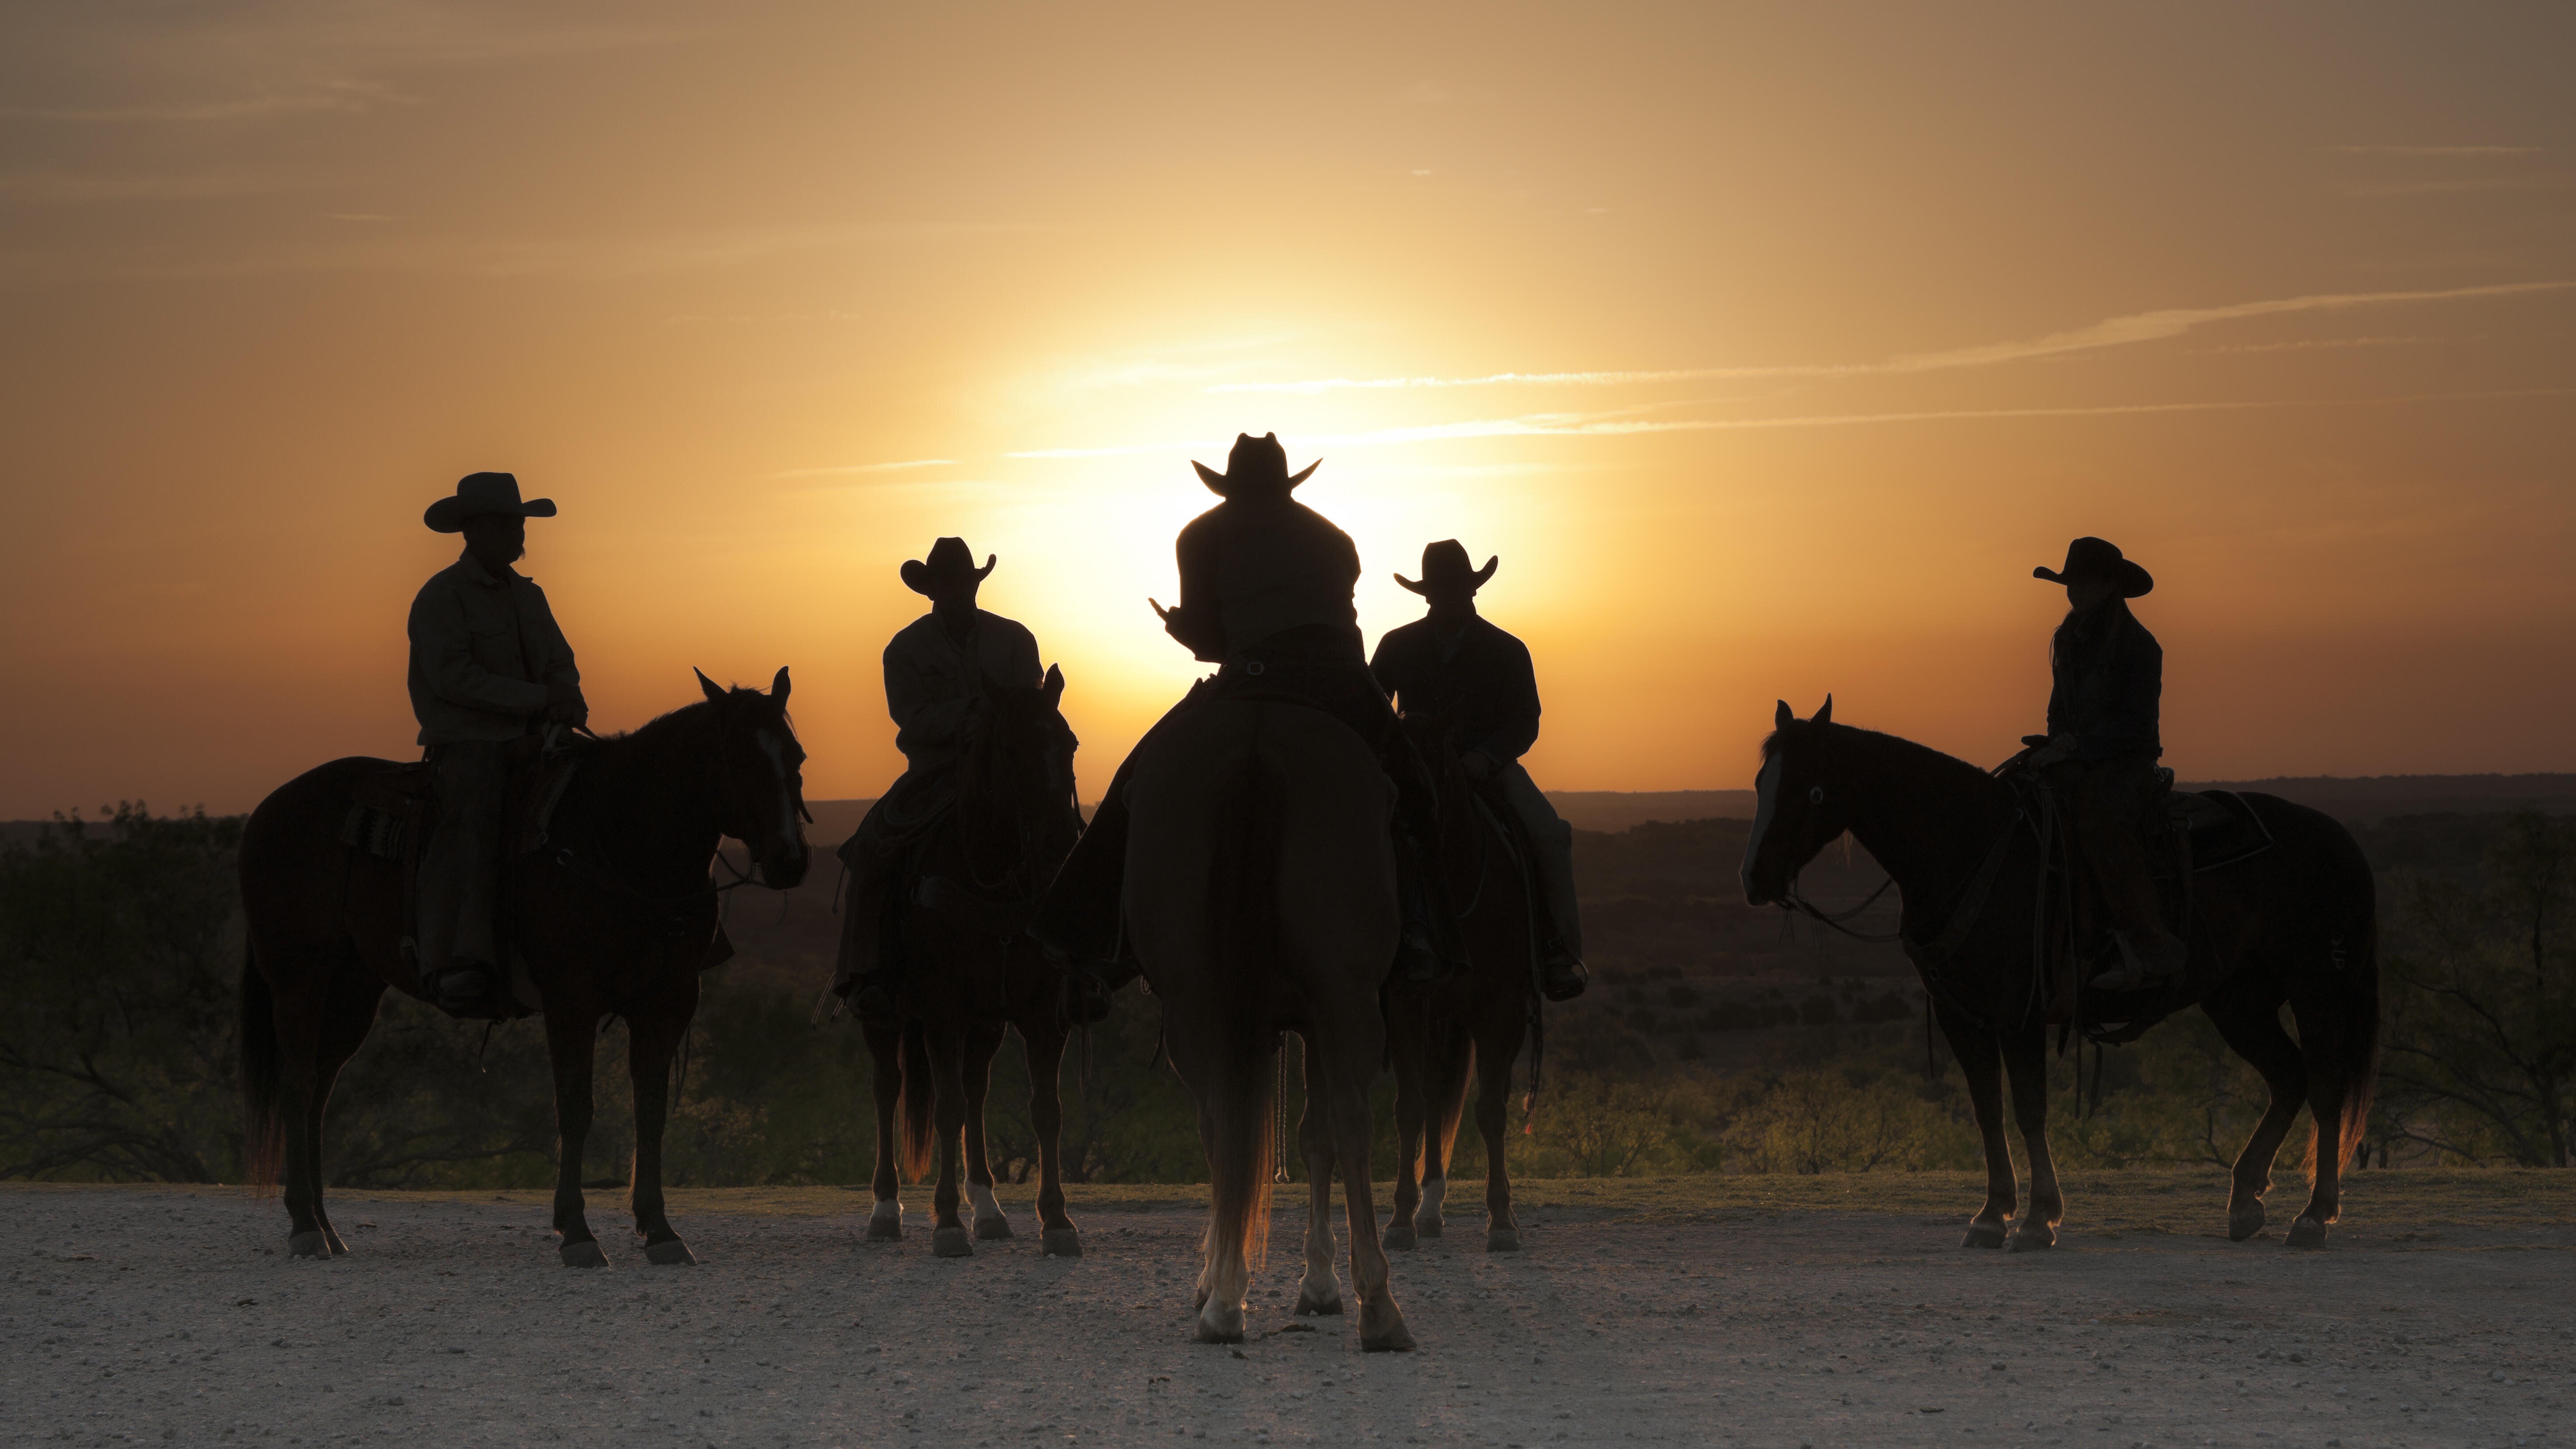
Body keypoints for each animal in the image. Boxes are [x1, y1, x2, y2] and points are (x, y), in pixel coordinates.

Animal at [242, 674, 808, 1271]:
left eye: (795, 755)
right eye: (738, 757)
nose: (790, 860)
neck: (620, 840)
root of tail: (267, 811)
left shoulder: (667, 1001)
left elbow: (650, 1112)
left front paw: (659, 1230)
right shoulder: (572, 1000)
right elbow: (576, 1109)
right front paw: (578, 1232)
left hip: (352, 990)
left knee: (320, 1091)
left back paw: (327, 1227)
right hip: (299, 978)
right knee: (298, 1083)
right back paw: (305, 1225)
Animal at [850, 669, 1082, 1261]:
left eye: (1068, 743)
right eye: (1010, 747)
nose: (1059, 843)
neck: (990, 877)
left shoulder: (1041, 1016)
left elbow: (1046, 1109)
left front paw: (1057, 1220)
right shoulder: (942, 1011)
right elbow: (947, 1106)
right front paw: (948, 1222)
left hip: (985, 1023)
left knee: (976, 1088)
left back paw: (989, 1207)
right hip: (883, 1016)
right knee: (888, 1088)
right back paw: (885, 1209)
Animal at [1123, 700, 1411, 1348]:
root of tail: (1258, 734)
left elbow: (1303, 1136)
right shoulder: (1318, 1017)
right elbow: (1319, 1135)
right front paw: (1322, 1281)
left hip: (1199, 1006)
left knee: (1219, 1122)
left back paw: (1225, 1298)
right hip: (1344, 997)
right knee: (1351, 1119)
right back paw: (1377, 1305)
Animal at [1741, 700, 2380, 1246]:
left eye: (1810, 789)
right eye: (1758, 783)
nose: (1753, 879)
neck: (1969, 851)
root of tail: (2341, 840)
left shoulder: (2018, 1009)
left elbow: (2028, 1107)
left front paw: (2036, 1217)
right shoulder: (1960, 1015)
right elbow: (1986, 1108)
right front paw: (1990, 1213)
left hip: (2318, 986)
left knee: (2324, 1086)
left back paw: (2313, 1215)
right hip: (2237, 1000)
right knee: (2288, 1077)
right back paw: (2246, 1201)